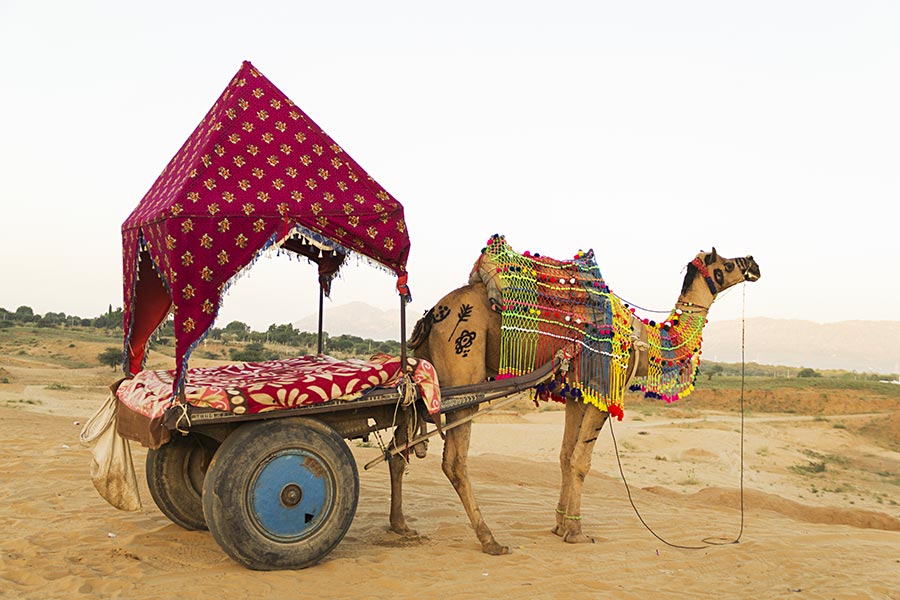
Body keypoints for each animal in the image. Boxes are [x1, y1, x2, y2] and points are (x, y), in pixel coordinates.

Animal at [388, 238, 760, 552]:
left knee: (398, 447)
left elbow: (566, 457)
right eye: (726, 264)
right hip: (463, 367)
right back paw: (490, 540)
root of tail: (432, 315)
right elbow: (582, 461)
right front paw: (577, 533)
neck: (643, 339)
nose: (754, 263)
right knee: (454, 461)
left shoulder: (578, 394)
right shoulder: (604, 388)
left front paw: (560, 525)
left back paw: (400, 525)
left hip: (423, 378)